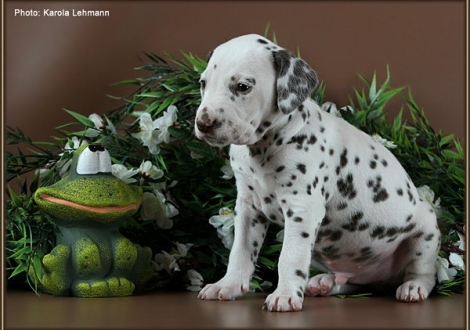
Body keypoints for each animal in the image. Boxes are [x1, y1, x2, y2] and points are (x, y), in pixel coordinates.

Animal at [194, 33, 440, 312]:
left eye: (243, 86)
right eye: (203, 83)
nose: (203, 123)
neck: (264, 148)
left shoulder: (302, 208)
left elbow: (289, 256)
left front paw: (285, 294)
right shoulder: (248, 208)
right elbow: (240, 251)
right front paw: (228, 285)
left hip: (425, 232)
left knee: (424, 272)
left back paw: (413, 287)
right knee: (351, 283)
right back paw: (323, 282)